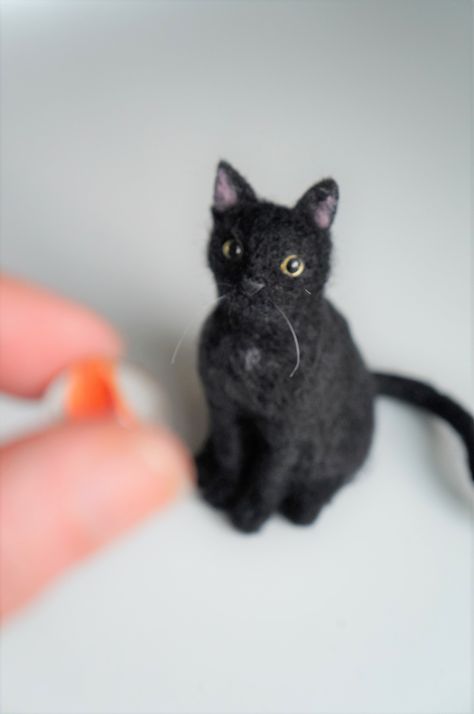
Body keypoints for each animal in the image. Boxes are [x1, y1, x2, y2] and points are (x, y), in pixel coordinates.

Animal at [194, 160, 472, 528]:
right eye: (232, 249)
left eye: (292, 265)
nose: (252, 283)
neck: (253, 346)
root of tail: (369, 378)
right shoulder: (222, 407)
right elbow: (229, 451)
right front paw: (221, 488)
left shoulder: (289, 432)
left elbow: (270, 474)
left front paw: (250, 516)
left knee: (334, 476)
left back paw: (306, 505)